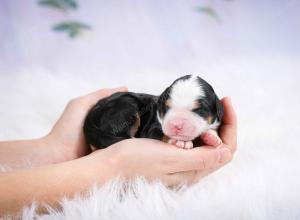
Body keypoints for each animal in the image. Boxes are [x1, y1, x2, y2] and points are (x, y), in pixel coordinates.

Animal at [83, 75, 224, 150]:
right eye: (167, 107)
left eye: (198, 110)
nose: (176, 125)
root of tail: (89, 118)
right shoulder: (153, 127)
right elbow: (162, 135)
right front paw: (180, 142)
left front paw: (211, 138)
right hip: (124, 108)